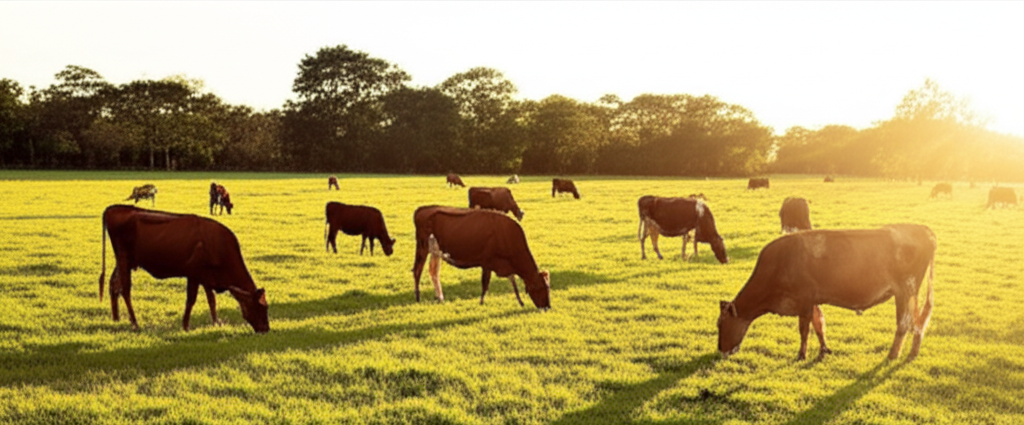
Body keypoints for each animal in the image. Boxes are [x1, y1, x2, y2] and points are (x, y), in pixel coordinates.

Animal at [99, 205, 269, 333]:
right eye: (262, 307)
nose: (266, 329)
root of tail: (114, 209)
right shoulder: (193, 275)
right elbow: (191, 300)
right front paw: (186, 326)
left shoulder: (206, 277)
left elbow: (211, 300)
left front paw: (216, 322)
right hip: (124, 260)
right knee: (125, 289)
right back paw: (134, 323)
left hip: (124, 262)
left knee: (114, 284)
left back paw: (116, 318)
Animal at [412, 206, 550, 309]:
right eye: (539, 288)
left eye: (548, 287)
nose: (547, 307)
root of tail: (422, 209)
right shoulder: (487, 262)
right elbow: (485, 283)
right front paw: (481, 302)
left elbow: (512, 281)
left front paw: (520, 302)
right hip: (422, 247)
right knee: (417, 271)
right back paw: (418, 298)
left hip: (435, 252)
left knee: (433, 272)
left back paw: (440, 298)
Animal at [718, 224, 936, 361]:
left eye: (721, 324)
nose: (720, 350)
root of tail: (923, 229)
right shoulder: (813, 299)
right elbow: (819, 324)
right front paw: (824, 350)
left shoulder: (804, 300)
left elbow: (804, 329)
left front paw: (801, 355)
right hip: (912, 292)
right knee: (918, 321)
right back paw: (912, 353)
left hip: (906, 289)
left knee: (905, 322)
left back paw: (893, 354)